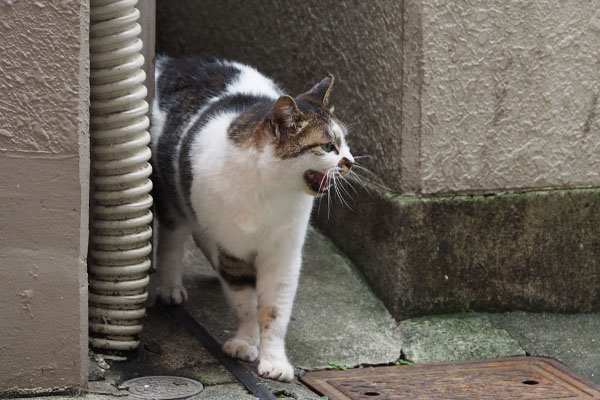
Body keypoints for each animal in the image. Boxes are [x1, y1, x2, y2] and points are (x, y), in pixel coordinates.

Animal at [150, 55, 354, 382]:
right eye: (327, 147)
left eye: (345, 142)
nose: (351, 162)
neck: (269, 192)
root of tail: (171, 61)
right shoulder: (232, 251)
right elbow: (244, 303)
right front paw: (246, 342)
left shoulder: (282, 256)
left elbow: (274, 312)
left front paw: (274, 360)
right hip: (172, 194)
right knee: (173, 236)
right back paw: (170, 288)